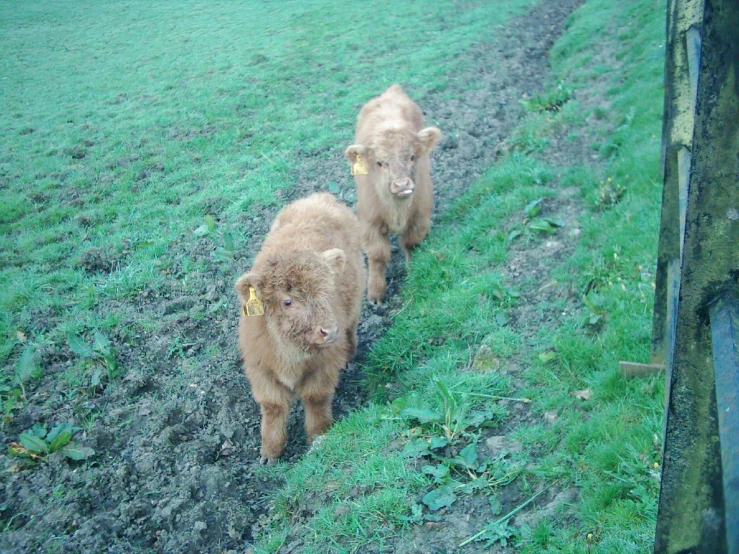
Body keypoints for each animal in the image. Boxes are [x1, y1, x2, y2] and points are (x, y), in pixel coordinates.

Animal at [346, 84, 442, 304]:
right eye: (380, 163)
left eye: (412, 157)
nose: (401, 184)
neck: (397, 209)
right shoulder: (369, 222)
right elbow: (378, 255)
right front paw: (375, 293)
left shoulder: (420, 217)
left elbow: (411, 243)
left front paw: (414, 269)